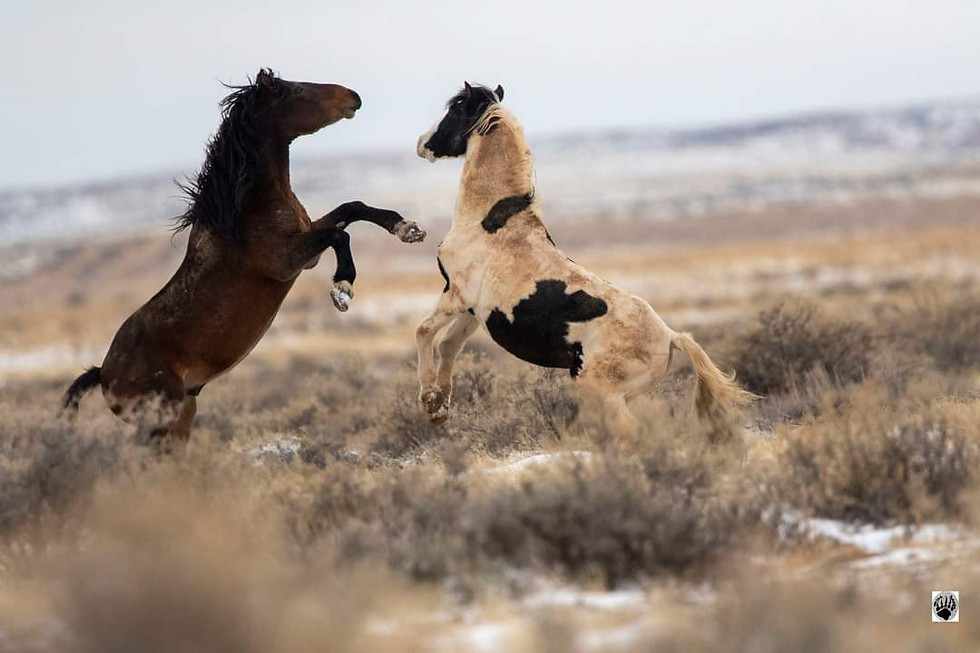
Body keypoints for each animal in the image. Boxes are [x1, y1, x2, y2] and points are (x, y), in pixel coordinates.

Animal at [63, 69, 425, 448]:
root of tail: (104, 373)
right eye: (297, 90)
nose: (353, 96)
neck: (246, 210)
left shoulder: (307, 244)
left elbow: (351, 208)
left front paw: (407, 228)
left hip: (182, 413)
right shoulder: (288, 260)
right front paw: (342, 290)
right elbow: (341, 234)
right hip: (164, 419)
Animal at [414, 83, 753, 436]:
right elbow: (448, 345)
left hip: (601, 391)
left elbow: (424, 332)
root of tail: (671, 337)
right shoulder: (473, 309)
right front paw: (439, 409)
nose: (422, 144)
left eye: (455, 108)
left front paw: (428, 399)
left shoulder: (456, 293)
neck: (490, 220)